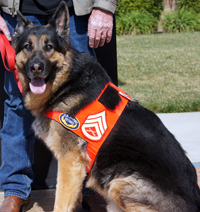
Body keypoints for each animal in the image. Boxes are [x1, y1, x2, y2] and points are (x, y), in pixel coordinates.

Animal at [12, 1, 200, 212]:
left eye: (49, 47)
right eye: (27, 46)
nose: (36, 68)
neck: (67, 83)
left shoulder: (69, 162)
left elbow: (61, 202)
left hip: (119, 182)